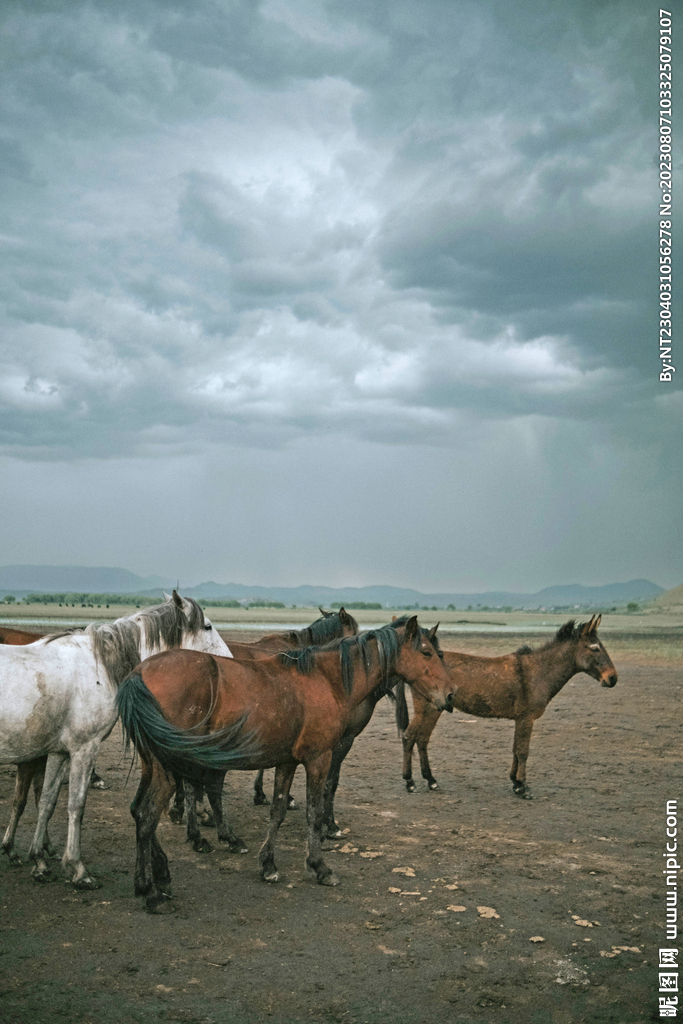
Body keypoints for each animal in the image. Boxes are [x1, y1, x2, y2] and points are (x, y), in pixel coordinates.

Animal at [0, 591, 231, 888]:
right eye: (208, 626)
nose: (230, 659)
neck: (98, 665)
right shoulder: (84, 748)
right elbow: (76, 805)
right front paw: (78, 869)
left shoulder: (59, 752)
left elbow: (48, 802)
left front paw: (39, 860)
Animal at [116, 616, 454, 912]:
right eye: (427, 652)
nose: (450, 695)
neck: (328, 680)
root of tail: (138, 674)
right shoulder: (320, 759)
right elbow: (314, 812)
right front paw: (319, 866)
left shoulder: (288, 762)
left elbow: (277, 810)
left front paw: (268, 864)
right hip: (170, 767)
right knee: (147, 815)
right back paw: (151, 891)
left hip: (154, 765)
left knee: (139, 811)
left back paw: (158, 877)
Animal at [395, 615, 617, 799]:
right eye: (595, 648)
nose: (613, 678)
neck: (538, 672)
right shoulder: (527, 718)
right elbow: (523, 751)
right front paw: (523, 788)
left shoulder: (520, 719)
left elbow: (515, 749)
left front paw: (515, 783)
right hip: (428, 709)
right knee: (409, 737)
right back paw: (410, 782)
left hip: (435, 709)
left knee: (422, 740)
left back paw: (431, 781)